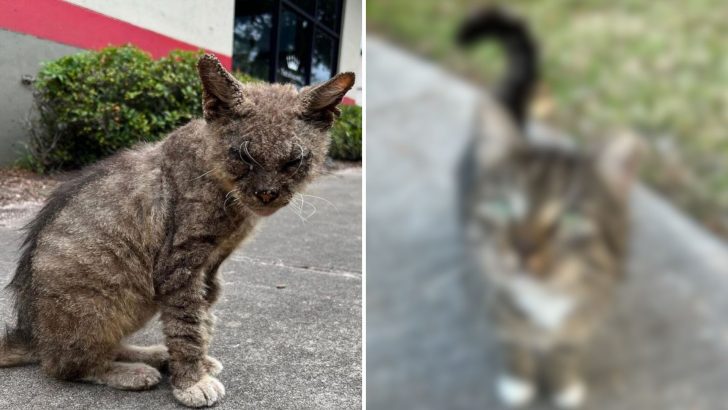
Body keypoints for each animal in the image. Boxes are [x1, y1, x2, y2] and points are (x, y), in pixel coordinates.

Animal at [0, 53, 352, 406]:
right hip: (104, 302)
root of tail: (31, 334)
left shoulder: (209, 270)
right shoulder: (179, 268)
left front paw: (199, 363)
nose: (267, 193)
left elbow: (203, 319)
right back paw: (130, 371)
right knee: (65, 365)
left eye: (294, 161)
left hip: (136, 301)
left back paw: (152, 354)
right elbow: (186, 325)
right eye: (242, 156)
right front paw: (191, 381)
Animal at [458, 7, 640, 410]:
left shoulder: (588, 306)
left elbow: (567, 349)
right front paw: (518, 382)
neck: (546, 299)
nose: (523, 249)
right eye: (503, 206)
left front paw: (563, 385)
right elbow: (515, 340)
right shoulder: (500, 297)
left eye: (571, 216)